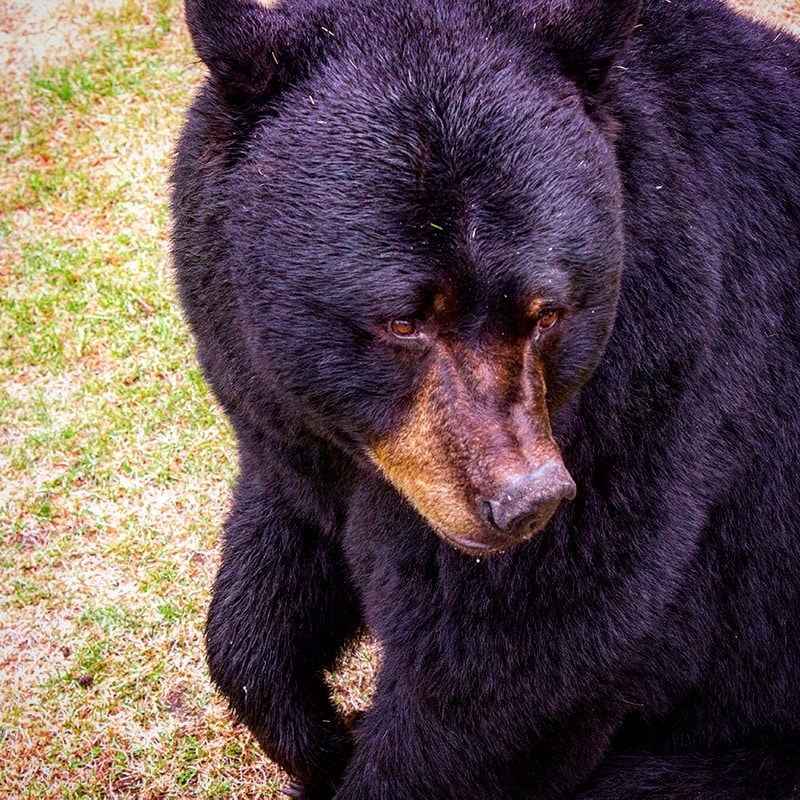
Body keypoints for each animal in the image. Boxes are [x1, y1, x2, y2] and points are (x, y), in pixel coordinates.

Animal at [170, 0, 800, 797]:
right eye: (403, 321)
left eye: (548, 313)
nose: (527, 499)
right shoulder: (291, 418)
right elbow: (274, 554)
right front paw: (313, 737)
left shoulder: (657, 412)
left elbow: (511, 674)